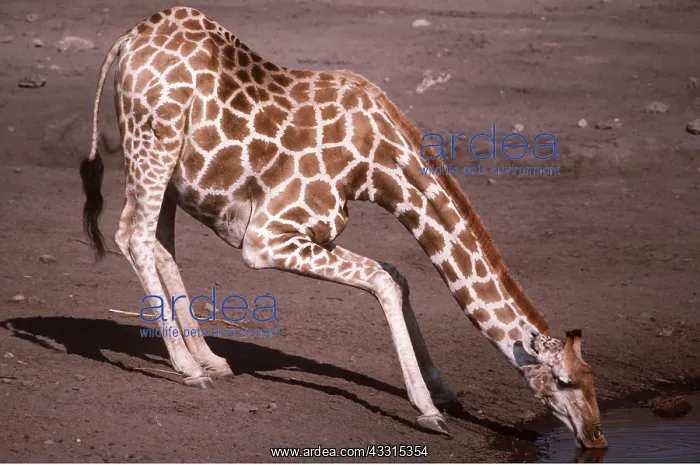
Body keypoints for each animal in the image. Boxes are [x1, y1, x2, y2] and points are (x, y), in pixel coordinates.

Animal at [79, 6, 607, 449]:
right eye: (565, 381)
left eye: (594, 378)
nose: (596, 438)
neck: (375, 164)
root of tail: (129, 39)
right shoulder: (266, 238)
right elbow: (383, 281)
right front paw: (428, 410)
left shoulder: (318, 234)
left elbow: (396, 274)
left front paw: (443, 391)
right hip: (154, 142)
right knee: (133, 235)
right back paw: (189, 367)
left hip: (169, 167)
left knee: (159, 242)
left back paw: (210, 359)